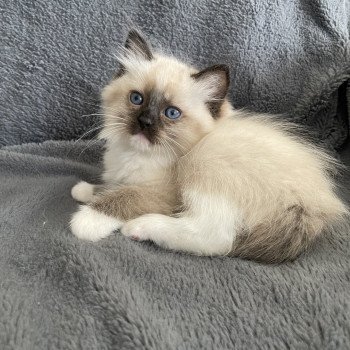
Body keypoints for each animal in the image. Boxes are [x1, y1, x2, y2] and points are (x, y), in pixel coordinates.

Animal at [69, 30, 346, 262]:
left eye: (171, 113)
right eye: (137, 99)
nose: (145, 122)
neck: (135, 154)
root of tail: (315, 207)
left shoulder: (161, 192)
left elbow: (121, 198)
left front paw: (85, 221)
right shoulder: (123, 176)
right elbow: (111, 187)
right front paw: (84, 190)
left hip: (205, 164)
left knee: (216, 239)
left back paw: (139, 227)